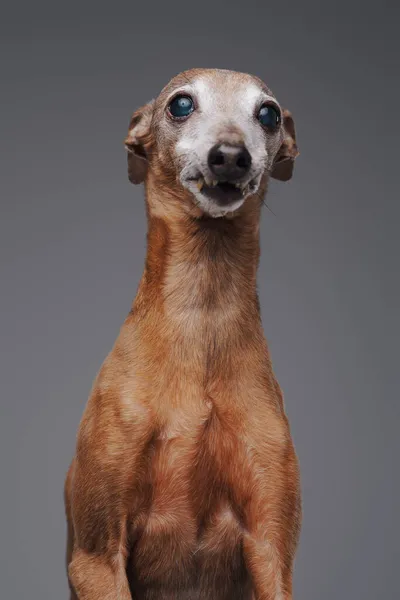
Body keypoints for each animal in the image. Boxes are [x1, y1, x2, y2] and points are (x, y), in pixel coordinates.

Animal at [65, 68, 300, 596]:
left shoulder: (272, 551)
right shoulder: (96, 555)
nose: (230, 154)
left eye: (268, 113)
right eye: (181, 104)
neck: (201, 322)